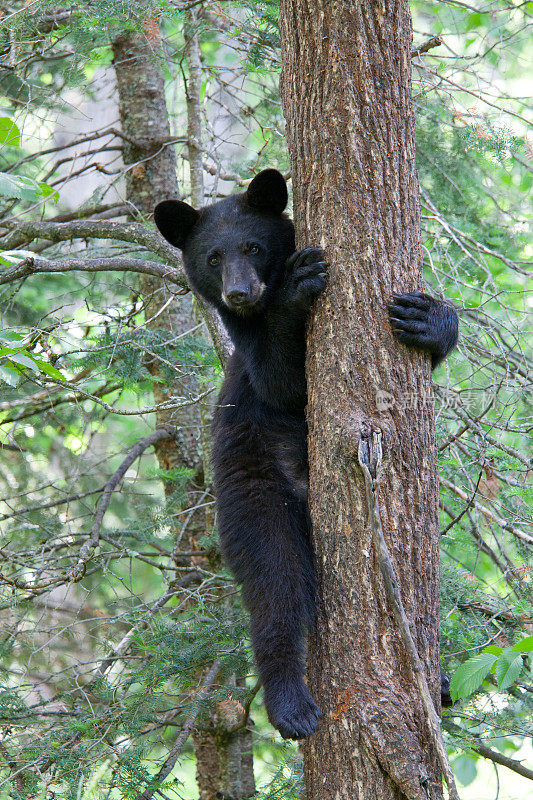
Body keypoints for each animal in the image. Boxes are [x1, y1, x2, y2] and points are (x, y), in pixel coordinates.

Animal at [154, 172, 458, 740]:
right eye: (212, 256)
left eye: (253, 246)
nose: (239, 292)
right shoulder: (250, 348)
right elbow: (282, 382)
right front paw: (299, 287)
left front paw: (431, 319)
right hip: (254, 494)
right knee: (277, 588)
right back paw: (290, 703)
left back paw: (442, 681)